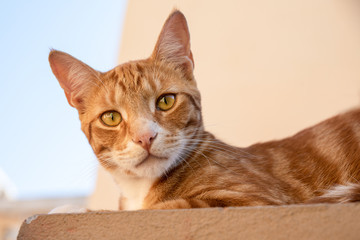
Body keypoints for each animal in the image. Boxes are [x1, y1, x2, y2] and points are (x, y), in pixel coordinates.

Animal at [48, 9, 360, 210]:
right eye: (111, 117)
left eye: (165, 101)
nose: (145, 137)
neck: (139, 191)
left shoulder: (257, 200)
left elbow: (162, 208)